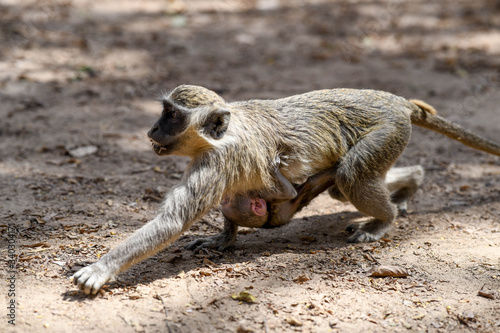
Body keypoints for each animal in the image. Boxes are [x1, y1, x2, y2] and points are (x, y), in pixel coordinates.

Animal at [72, 83, 500, 294]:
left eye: (172, 116)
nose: (152, 129)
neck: (221, 133)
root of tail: (396, 101)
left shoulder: (216, 161)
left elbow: (172, 222)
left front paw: (101, 268)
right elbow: (228, 208)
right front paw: (222, 239)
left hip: (389, 130)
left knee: (350, 176)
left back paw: (385, 219)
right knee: (343, 187)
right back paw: (412, 185)